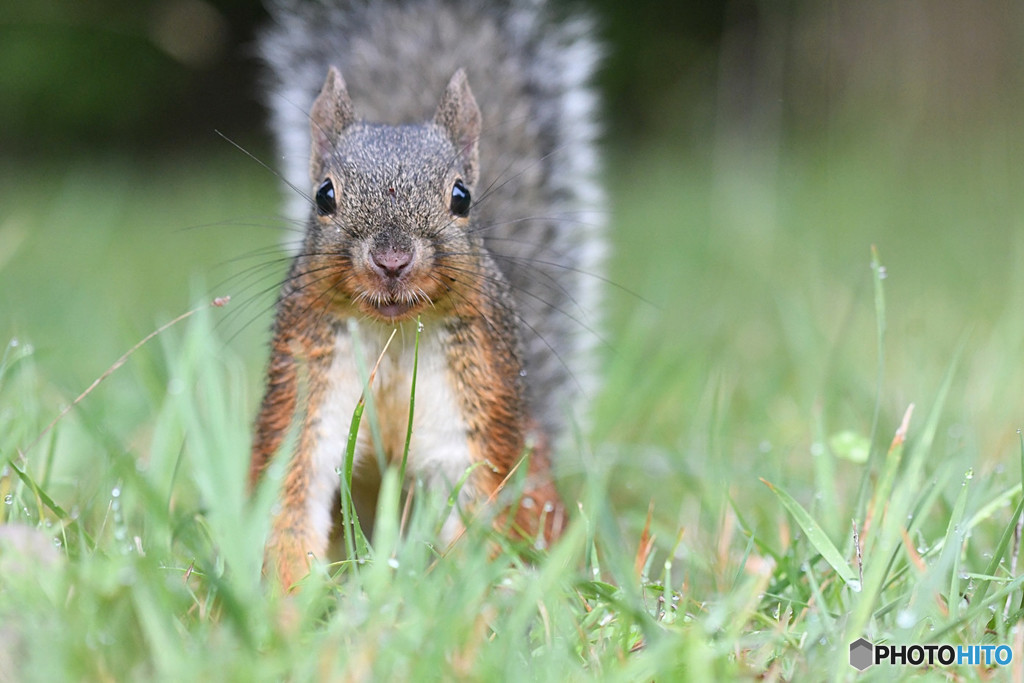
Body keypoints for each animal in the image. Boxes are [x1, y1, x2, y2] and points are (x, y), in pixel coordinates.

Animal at [246, 0, 602, 589]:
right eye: (324, 195)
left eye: (461, 196)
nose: (392, 260)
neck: (391, 331)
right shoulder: (310, 382)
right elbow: (294, 488)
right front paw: (286, 589)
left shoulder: (474, 406)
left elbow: (478, 505)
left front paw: (461, 592)